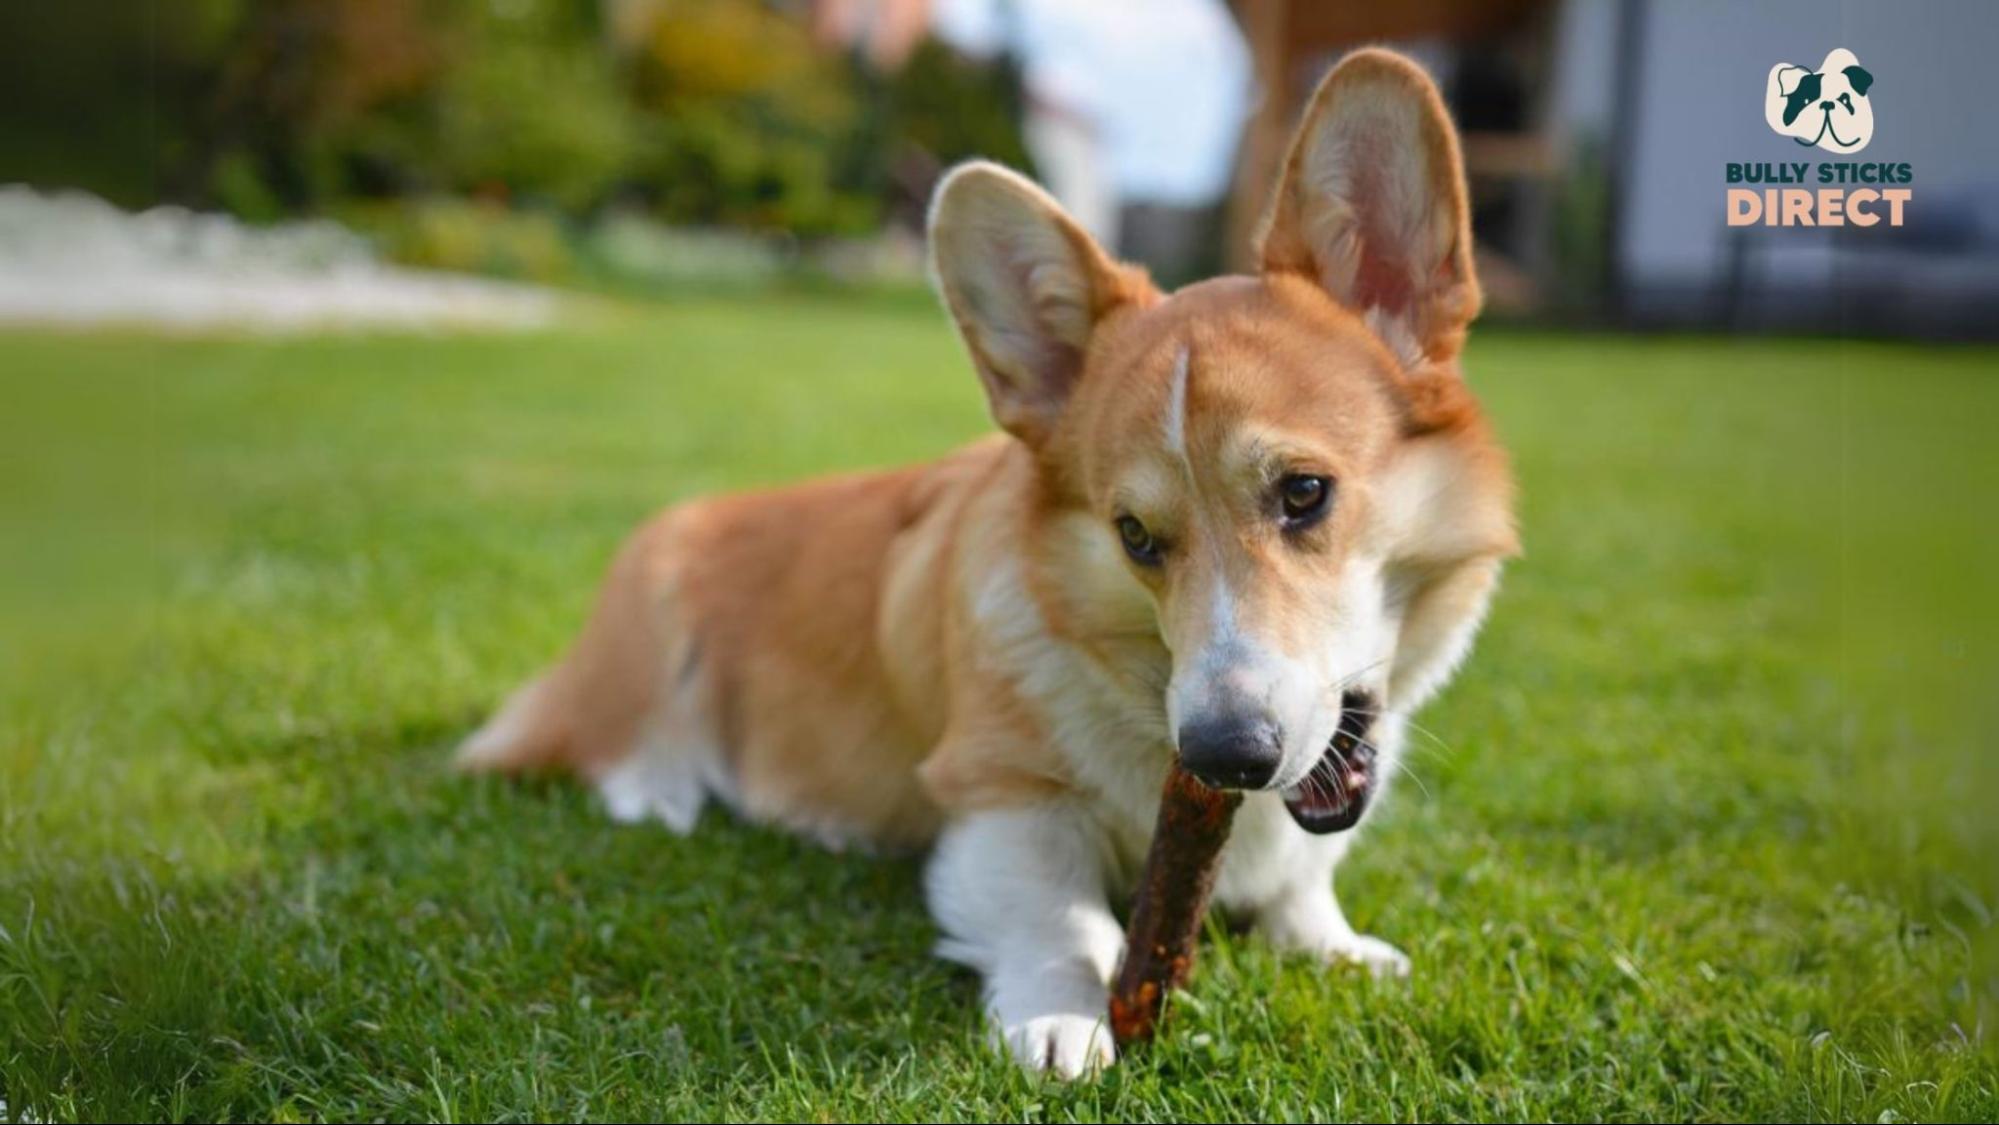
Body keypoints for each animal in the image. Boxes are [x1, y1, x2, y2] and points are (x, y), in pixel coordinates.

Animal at [457, 50, 1511, 1079]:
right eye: (1135, 535)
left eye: (1303, 492)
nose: (1223, 754)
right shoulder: (999, 797)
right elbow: (1061, 916)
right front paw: (1059, 1020)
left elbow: (1303, 883)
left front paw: (1337, 945)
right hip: (646, 623)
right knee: (602, 743)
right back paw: (663, 792)